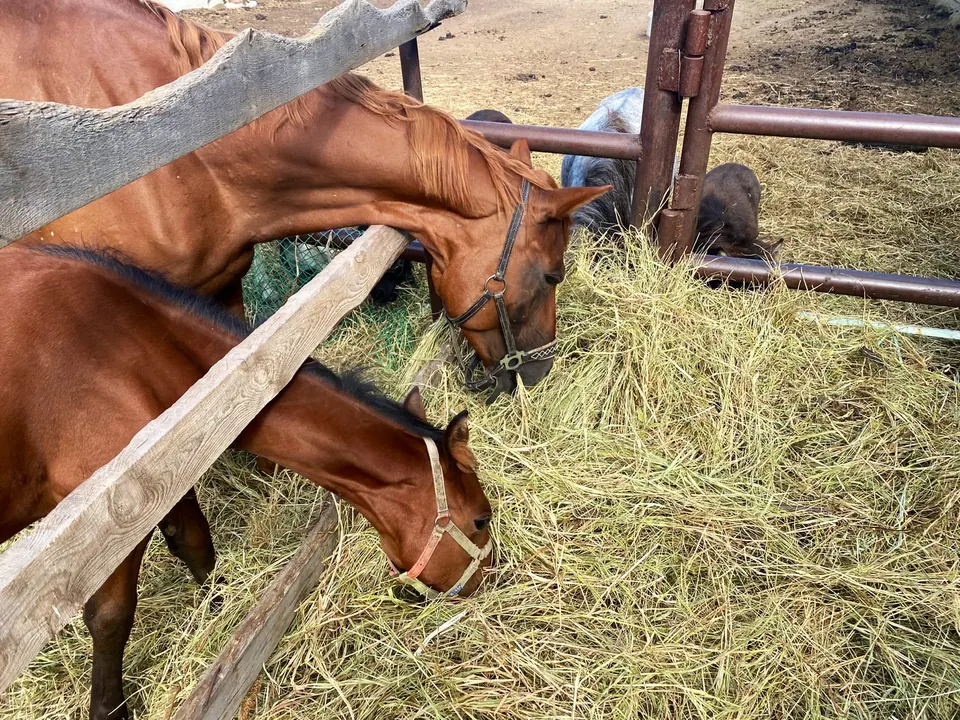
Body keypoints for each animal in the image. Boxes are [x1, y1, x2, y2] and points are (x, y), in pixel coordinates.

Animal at [0, 243, 494, 720]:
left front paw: (221, 613)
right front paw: (110, 709)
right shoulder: (108, 522)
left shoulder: (164, 479)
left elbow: (194, 544)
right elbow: (110, 616)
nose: (487, 579)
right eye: (481, 520)